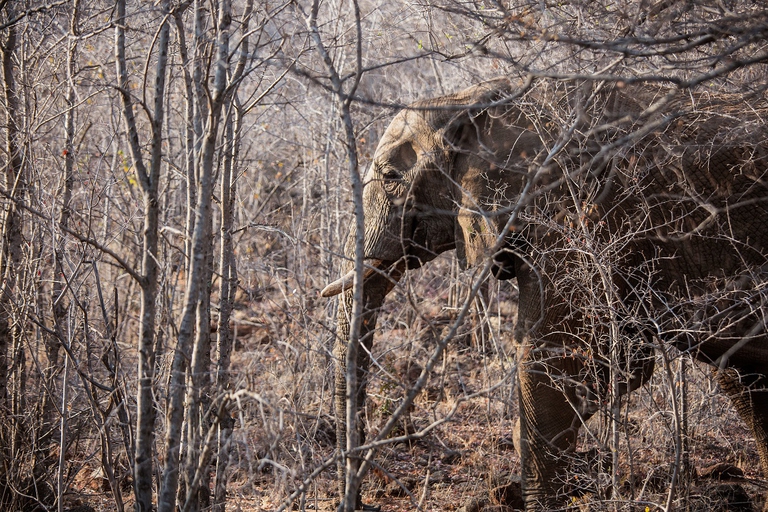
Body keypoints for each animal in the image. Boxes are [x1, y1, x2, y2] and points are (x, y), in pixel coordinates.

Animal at [321, 76, 768, 510]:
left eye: (391, 177)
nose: (364, 503)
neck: (478, 96)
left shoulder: (577, 212)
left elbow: (554, 354)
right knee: (741, 378)